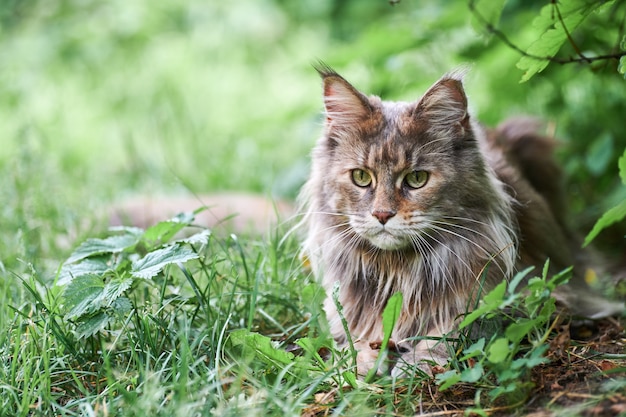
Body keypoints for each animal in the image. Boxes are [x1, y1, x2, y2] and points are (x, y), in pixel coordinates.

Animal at [296, 65, 620, 376]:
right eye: (361, 177)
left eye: (417, 179)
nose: (382, 214)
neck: (399, 271)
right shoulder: (345, 307)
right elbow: (355, 339)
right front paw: (354, 365)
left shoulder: (517, 296)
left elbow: (453, 330)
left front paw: (417, 363)